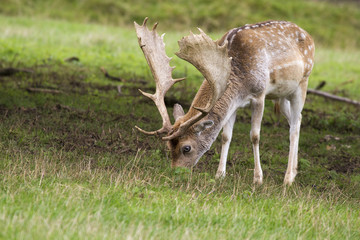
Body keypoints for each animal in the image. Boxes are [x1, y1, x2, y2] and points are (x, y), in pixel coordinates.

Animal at [135, 17, 316, 185]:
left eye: (186, 148)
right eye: (168, 146)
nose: (175, 172)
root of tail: (308, 35)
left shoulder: (259, 94)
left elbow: (255, 136)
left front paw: (258, 179)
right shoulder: (234, 104)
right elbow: (225, 136)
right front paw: (219, 175)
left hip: (303, 81)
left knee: (294, 127)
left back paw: (288, 178)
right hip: (281, 95)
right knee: (297, 119)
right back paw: (294, 171)